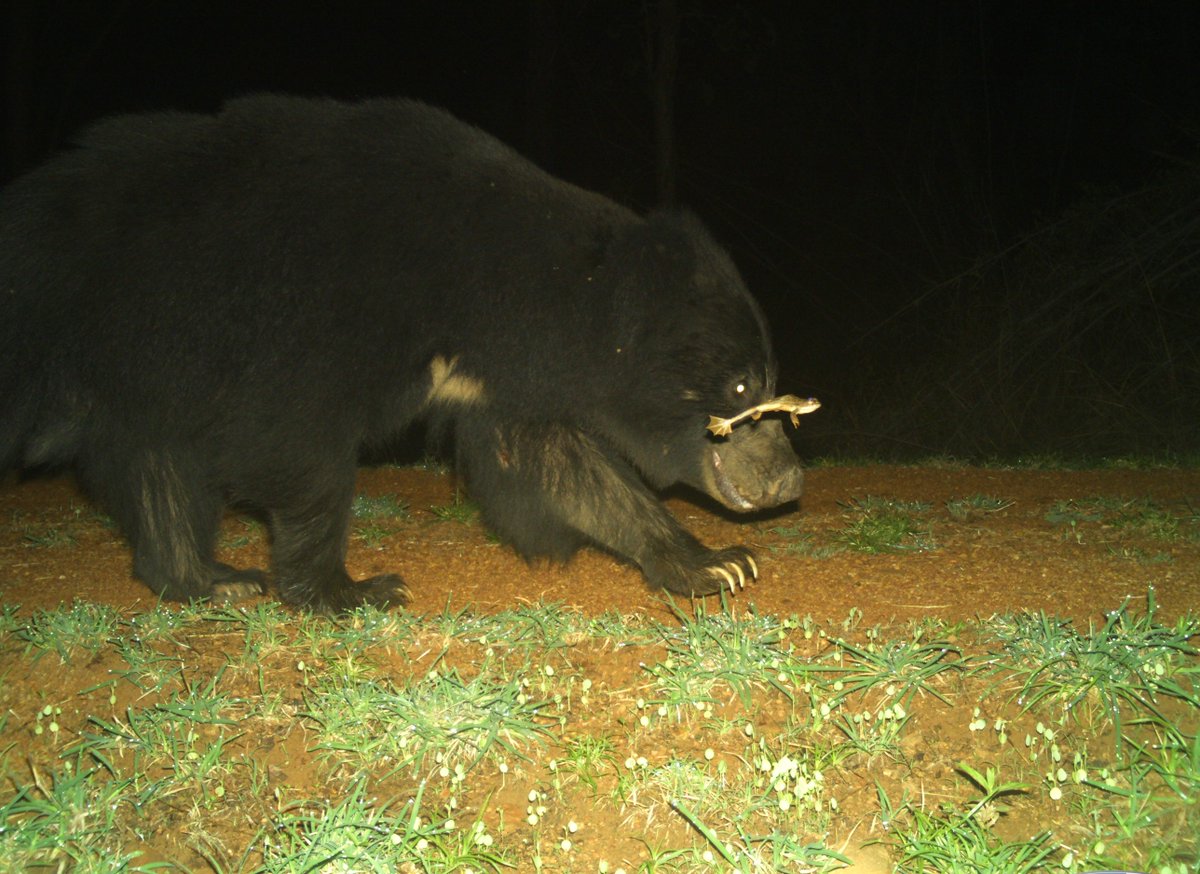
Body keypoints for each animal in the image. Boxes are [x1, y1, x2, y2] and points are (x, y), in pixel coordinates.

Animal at [0, 95, 807, 612]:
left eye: (771, 384)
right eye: (741, 389)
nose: (789, 480)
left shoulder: (501, 374)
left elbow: (562, 465)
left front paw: (715, 564)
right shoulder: (314, 319)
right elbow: (301, 448)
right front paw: (351, 590)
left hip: (138, 382)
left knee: (156, 473)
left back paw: (209, 578)